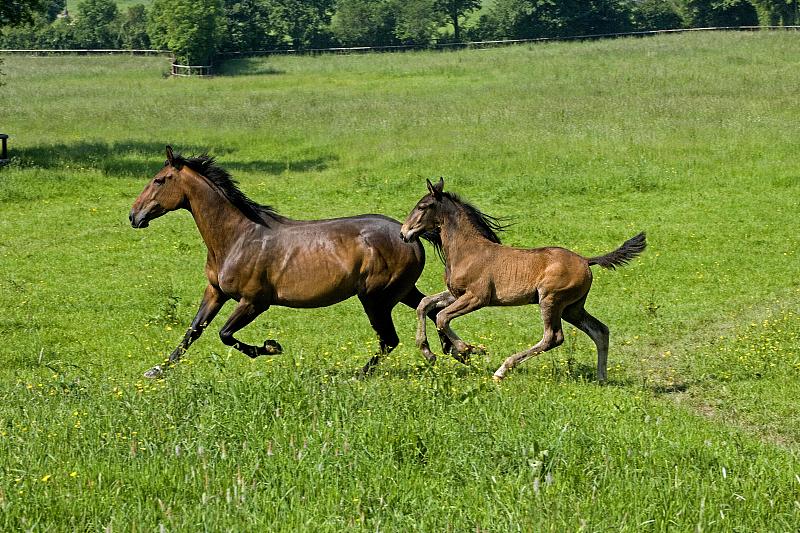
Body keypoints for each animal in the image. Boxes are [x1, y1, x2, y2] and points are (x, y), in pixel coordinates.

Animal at [132, 147, 456, 378]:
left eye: (158, 180)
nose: (134, 216)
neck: (237, 238)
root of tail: (409, 235)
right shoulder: (215, 291)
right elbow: (194, 330)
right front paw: (156, 370)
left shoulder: (254, 301)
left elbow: (224, 334)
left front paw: (271, 347)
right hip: (401, 291)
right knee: (431, 308)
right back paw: (456, 350)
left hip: (376, 298)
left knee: (390, 338)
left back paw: (362, 374)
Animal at [398, 179, 644, 382]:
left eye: (422, 206)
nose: (403, 233)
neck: (468, 251)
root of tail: (586, 260)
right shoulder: (455, 294)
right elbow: (425, 305)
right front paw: (430, 351)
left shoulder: (477, 298)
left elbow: (442, 317)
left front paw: (467, 350)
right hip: (572, 308)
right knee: (600, 331)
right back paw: (602, 378)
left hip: (551, 300)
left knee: (553, 337)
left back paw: (502, 370)